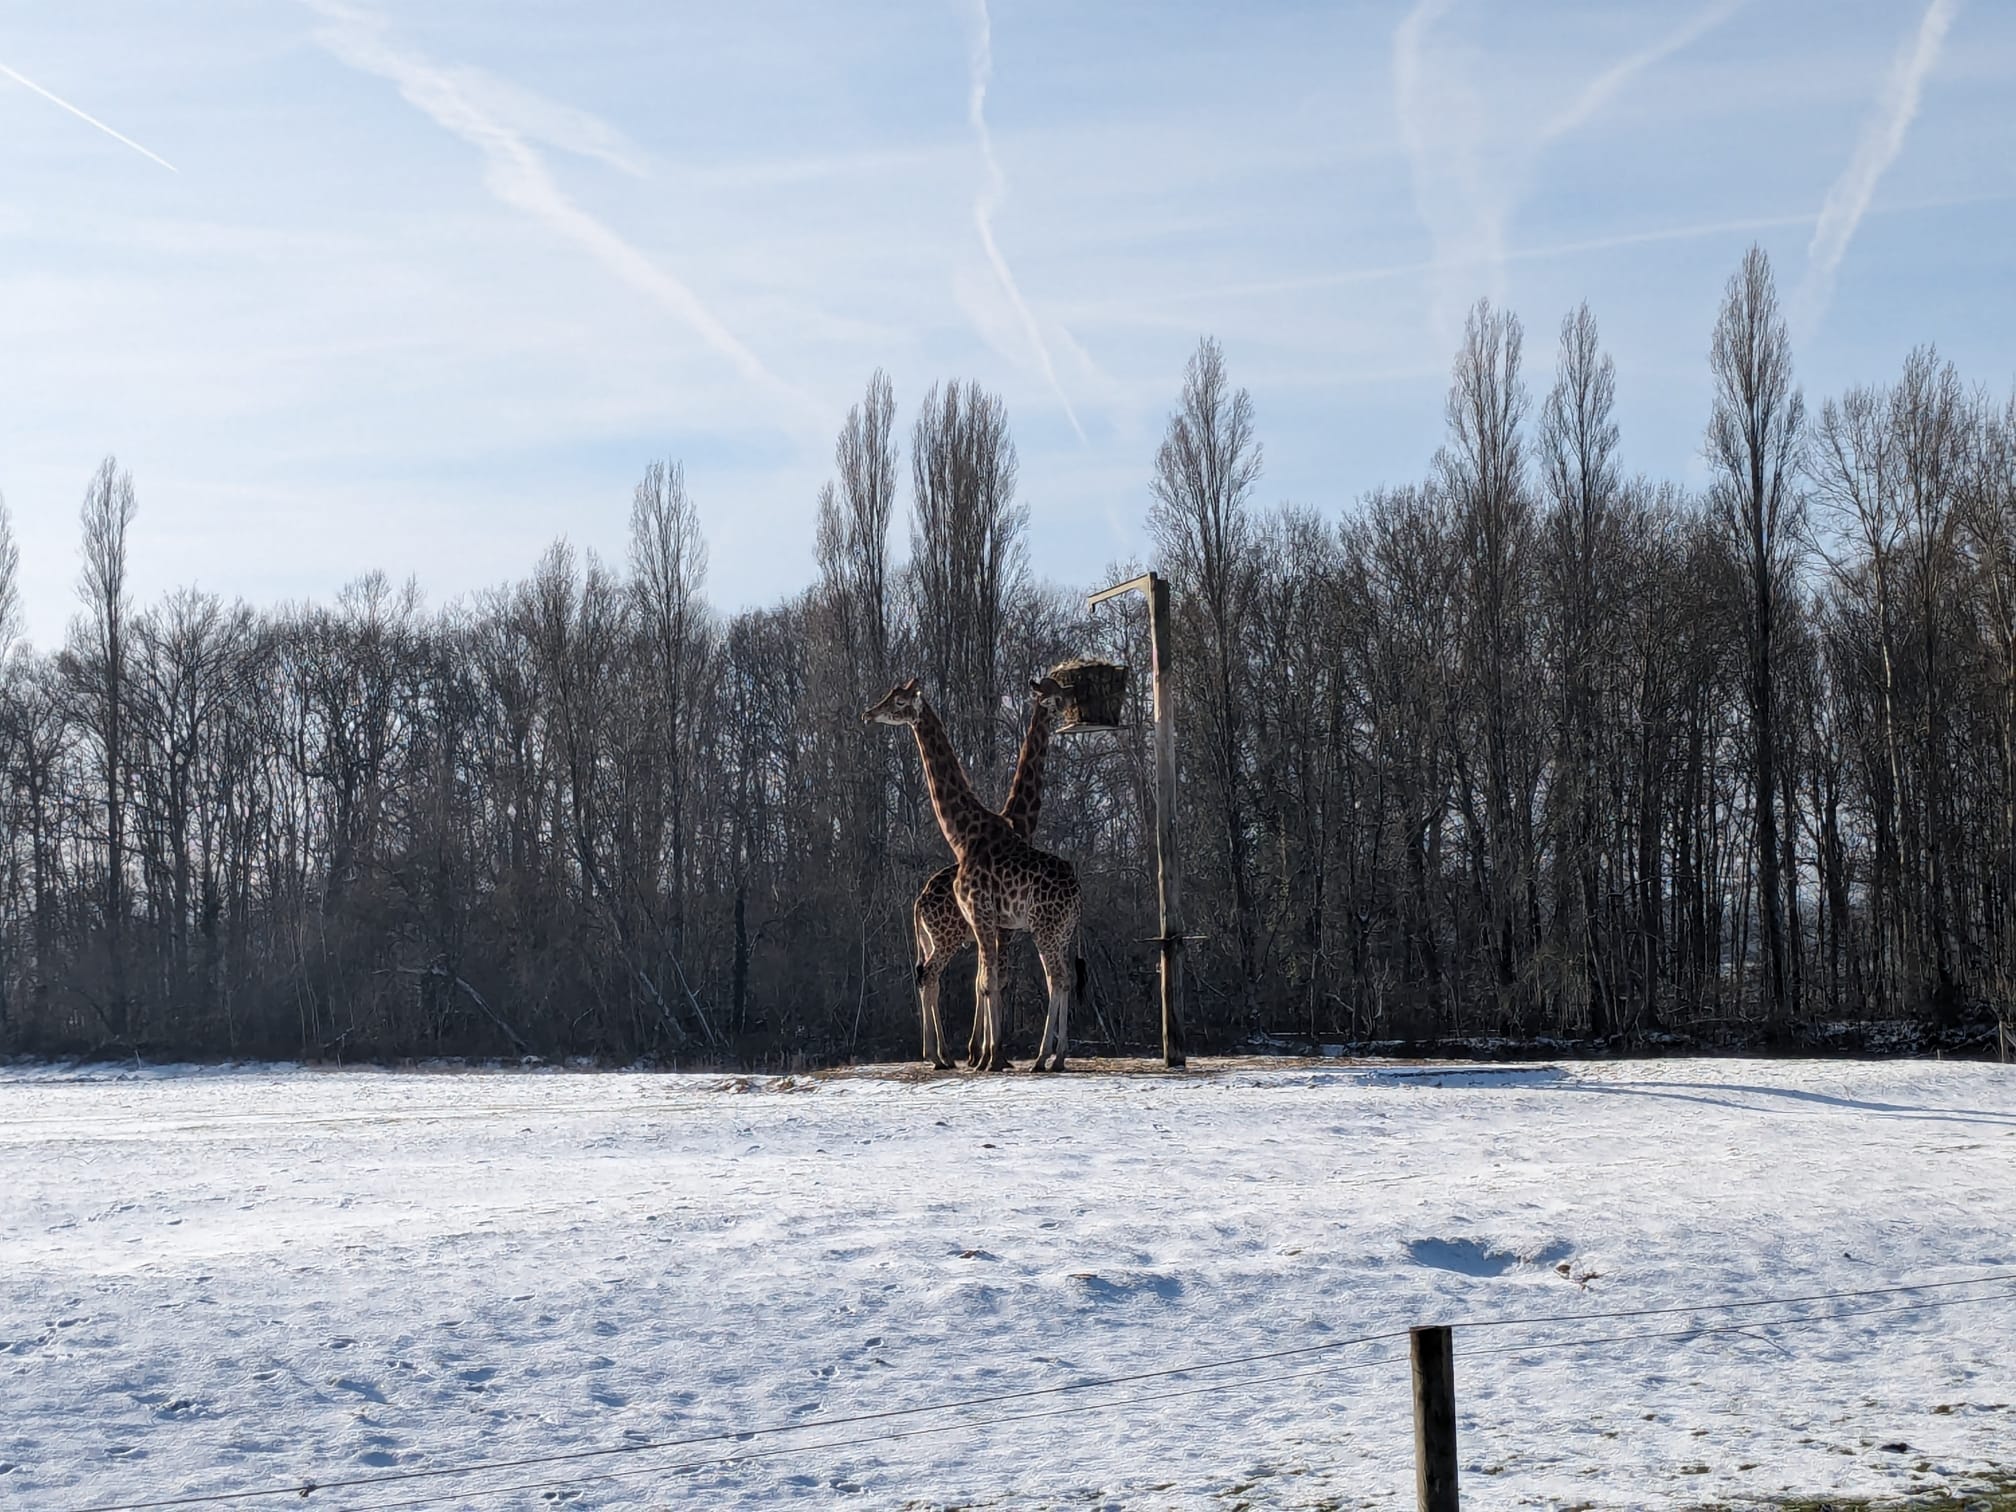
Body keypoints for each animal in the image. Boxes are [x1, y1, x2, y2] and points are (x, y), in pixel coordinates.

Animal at [865, 679, 1081, 1071]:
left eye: (898, 701)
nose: (869, 713)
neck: (965, 835)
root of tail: (919, 901)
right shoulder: (996, 924)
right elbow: (988, 981)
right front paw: (988, 1055)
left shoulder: (992, 922)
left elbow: (989, 981)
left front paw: (989, 1055)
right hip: (1038, 932)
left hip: (1041, 930)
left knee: (1056, 978)